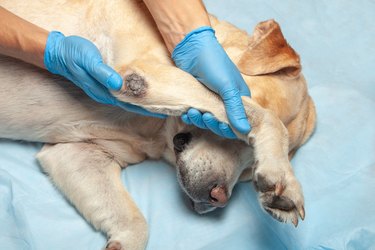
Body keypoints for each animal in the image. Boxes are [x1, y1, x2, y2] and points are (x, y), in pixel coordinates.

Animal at [0, 0, 318, 250]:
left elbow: (136, 225)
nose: (218, 199)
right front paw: (283, 177)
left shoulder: (77, 155)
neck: (155, 131)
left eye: (250, 171)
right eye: (235, 136)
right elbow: (262, 116)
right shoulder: (144, 73)